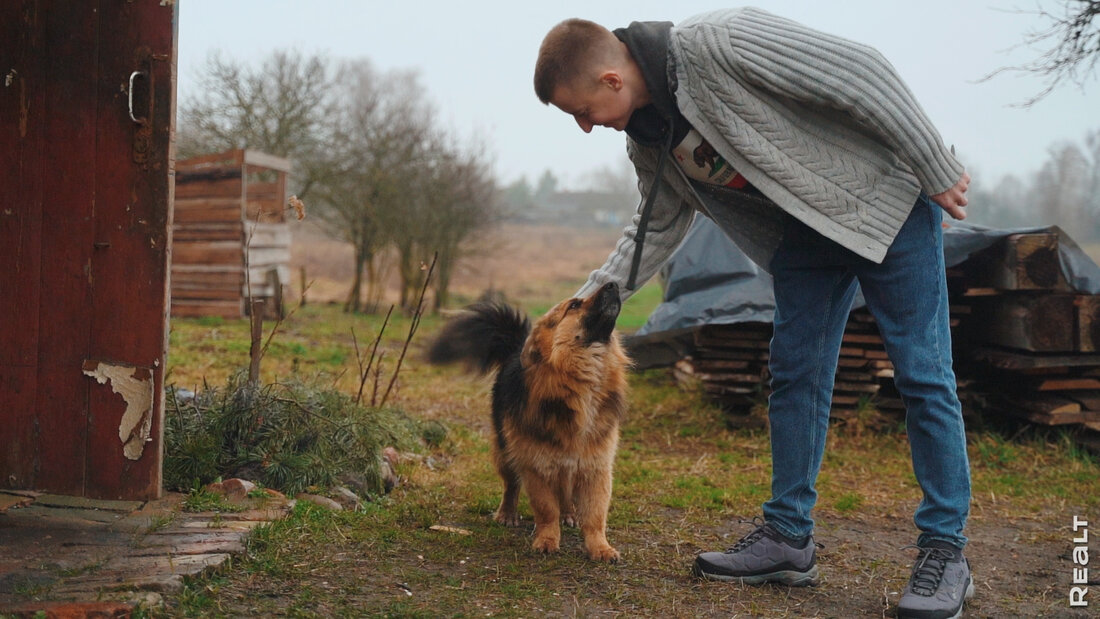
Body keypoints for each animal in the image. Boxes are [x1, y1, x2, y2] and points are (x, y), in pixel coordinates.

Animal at [426, 283, 629, 562]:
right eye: (574, 305)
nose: (613, 283)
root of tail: (515, 348)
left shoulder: (595, 466)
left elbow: (596, 515)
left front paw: (600, 547)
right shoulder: (536, 466)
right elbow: (546, 509)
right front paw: (547, 539)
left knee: (565, 492)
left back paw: (569, 513)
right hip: (505, 450)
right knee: (511, 485)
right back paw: (507, 514)